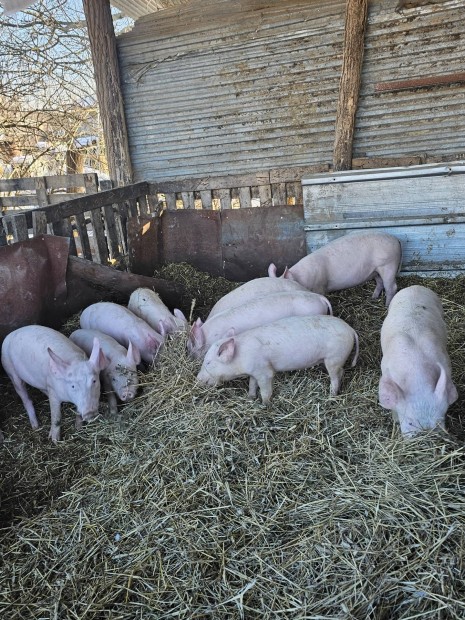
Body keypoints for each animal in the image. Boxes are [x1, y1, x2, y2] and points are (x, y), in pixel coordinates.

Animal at [197, 315, 359, 403]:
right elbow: (252, 384)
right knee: (341, 372)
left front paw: (265, 404)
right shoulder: (254, 371)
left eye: (208, 363)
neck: (240, 357)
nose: (198, 378)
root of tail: (351, 330)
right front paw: (250, 398)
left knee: (335, 376)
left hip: (334, 357)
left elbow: (265, 389)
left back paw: (331, 395)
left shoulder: (264, 371)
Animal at [268, 231, 402, 306]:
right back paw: (373, 298)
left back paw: (387, 306)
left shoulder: (320, 286)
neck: (302, 279)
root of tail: (396, 239)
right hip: (375, 271)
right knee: (380, 283)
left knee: (392, 287)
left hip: (389, 265)